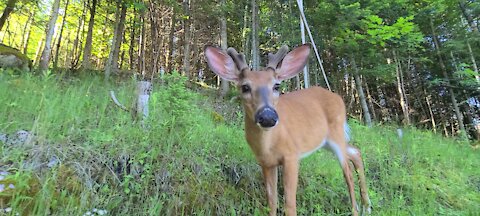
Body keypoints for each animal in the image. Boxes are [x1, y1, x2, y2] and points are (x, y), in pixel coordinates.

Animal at [204, 43, 374, 215]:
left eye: (276, 85)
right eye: (245, 87)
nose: (267, 116)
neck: (268, 146)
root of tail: (337, 96)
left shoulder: (292, 155)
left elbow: (290, 203)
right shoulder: (266, 163)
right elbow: (272, 202)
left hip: (336, 132)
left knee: (348, 173)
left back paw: (356, 209)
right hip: (325, 141)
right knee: (355, 152)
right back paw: (367, 207)